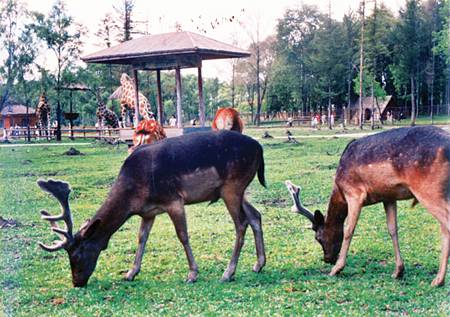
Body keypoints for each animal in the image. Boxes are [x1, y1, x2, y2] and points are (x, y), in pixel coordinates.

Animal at [37, 130, 268, 286]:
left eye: (76, 254)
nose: (76, 282)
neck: (134, 192)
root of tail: (260, 148)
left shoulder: (173, 200)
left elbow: (182, 235)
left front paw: (192, 274)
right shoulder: (148, 212)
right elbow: (142, 238)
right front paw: (131, 273)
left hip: (232, 187)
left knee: (241, 223)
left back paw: (228, 273)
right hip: (235, 190)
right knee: (255, 215)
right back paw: (259, 264)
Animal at [284, 126, 450, 286]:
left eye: (318, 237)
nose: (327, 259)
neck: (340, 188)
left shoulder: (354, 193)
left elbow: (349, 230)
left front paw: (337, 269)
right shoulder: (388, 197)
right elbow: (392, 229)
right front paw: (398, 271)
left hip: (428, 190)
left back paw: (438, 280)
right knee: (443, 227)